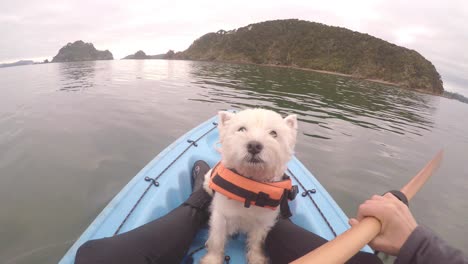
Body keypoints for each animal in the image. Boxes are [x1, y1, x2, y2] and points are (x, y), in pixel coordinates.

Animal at [200, 109, 296, 264]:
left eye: (274, 133)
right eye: (241, 129)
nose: (254, 146)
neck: (251, 189)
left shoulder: (263, 222)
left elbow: (256, 242)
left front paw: (257, 259)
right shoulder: (221, 216)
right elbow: (217, 240)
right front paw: (212, 260)